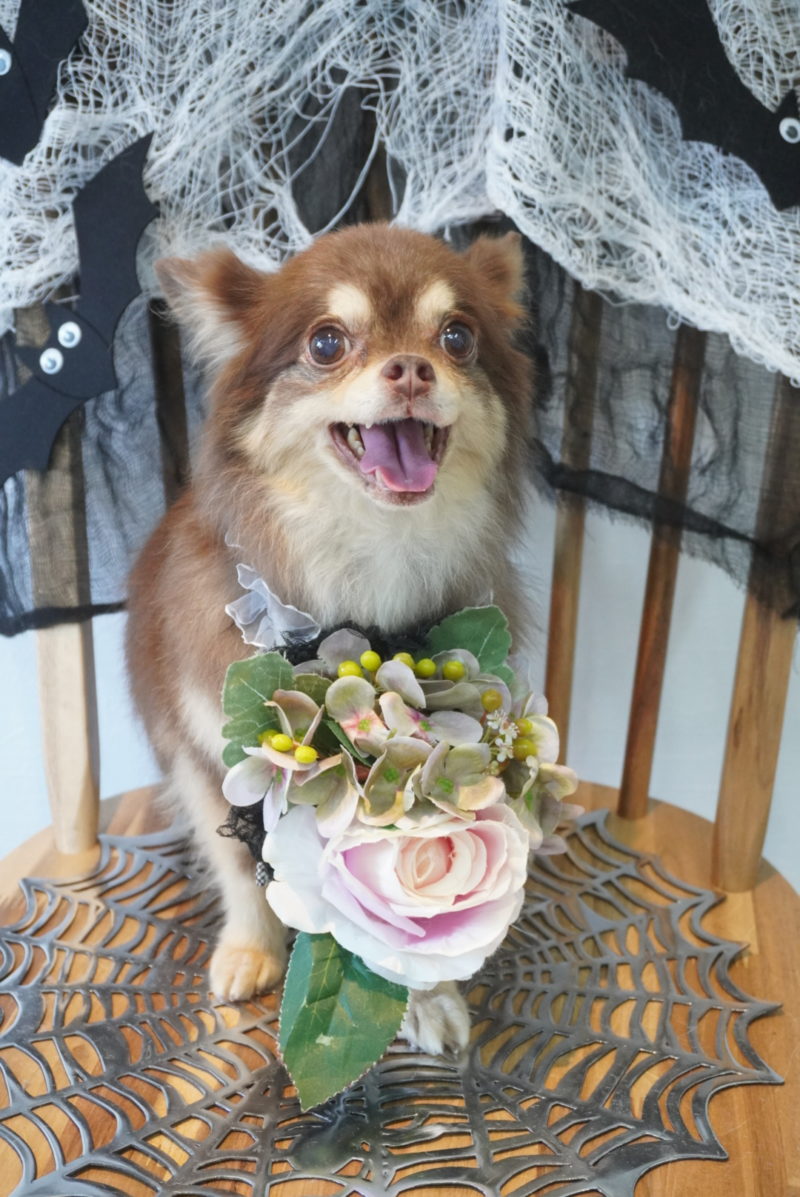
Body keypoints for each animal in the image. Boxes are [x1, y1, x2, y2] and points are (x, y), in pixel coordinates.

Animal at [126, 223, 532, 1054]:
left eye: (457, 337)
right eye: (326, 343)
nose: (411, 367)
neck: (369, 564)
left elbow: (419, 895)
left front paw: (428, 995)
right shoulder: (200, 749)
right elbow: (237, 863)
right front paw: (249, 950)